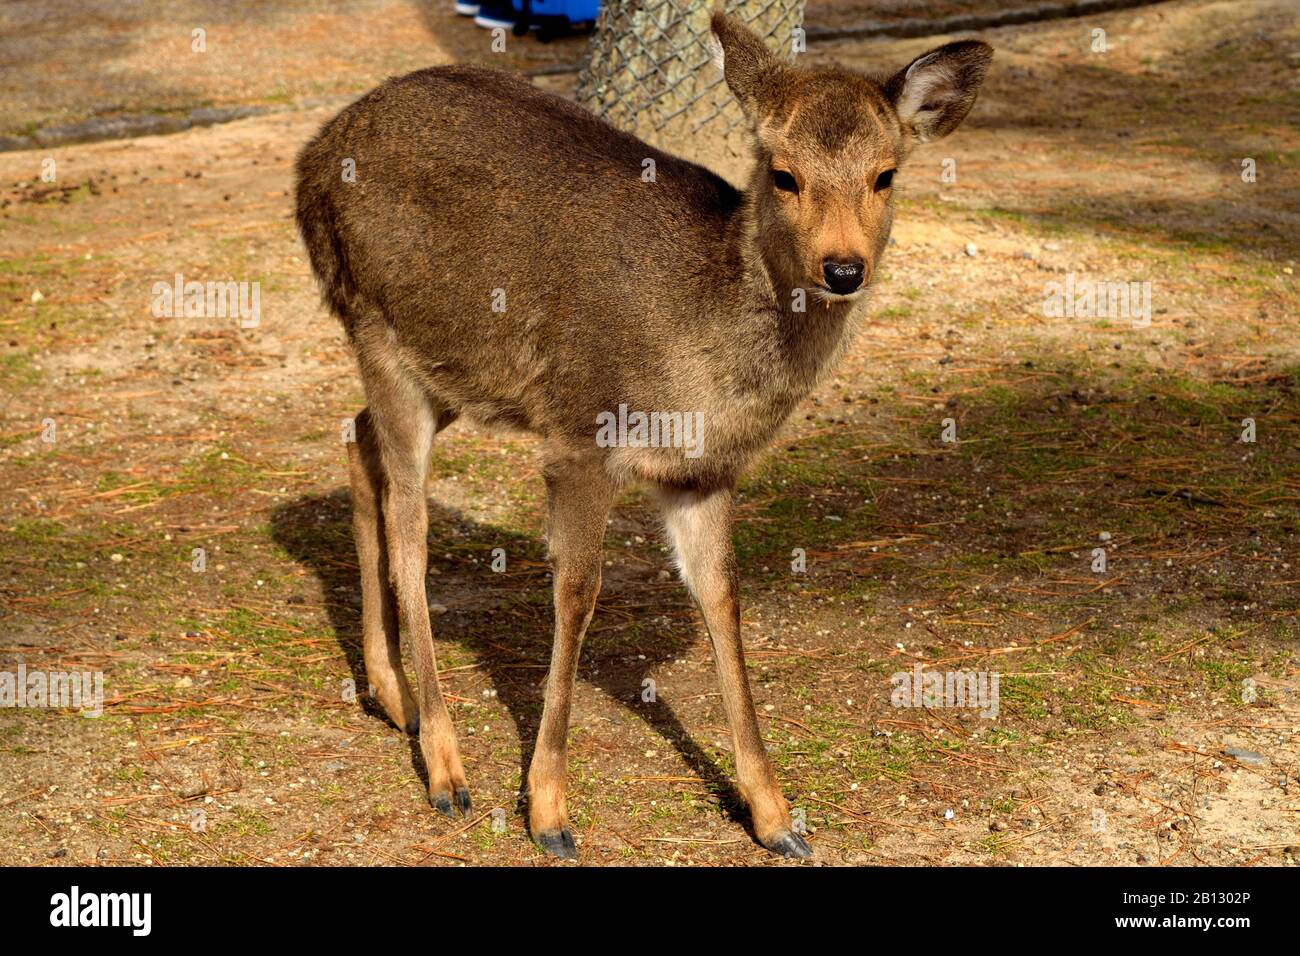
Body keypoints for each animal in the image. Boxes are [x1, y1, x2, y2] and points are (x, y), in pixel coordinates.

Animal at [292, 9, 982, 858]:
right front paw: (550, 812)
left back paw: (391, 697)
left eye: (886, 174)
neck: (702, 373)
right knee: (409, 525)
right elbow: (578, 592)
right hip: (376, 324)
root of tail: (312, 158)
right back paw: (446, 766)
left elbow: (721, 596)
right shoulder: (581, 433)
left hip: (447, 367)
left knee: (357, 440)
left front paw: (776, 816)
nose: (843, 268)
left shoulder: (701, 472)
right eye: (784, 174)